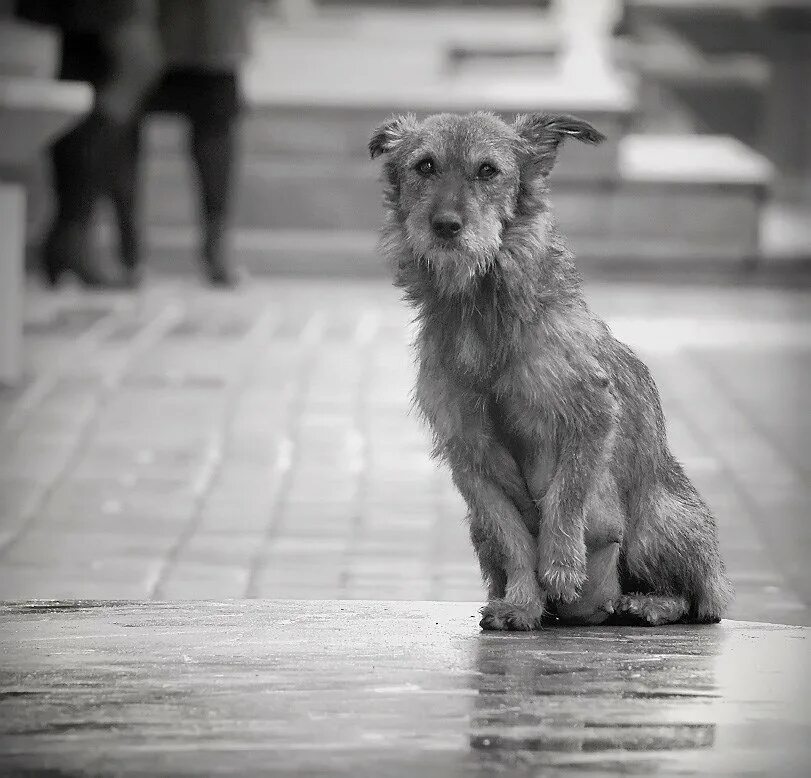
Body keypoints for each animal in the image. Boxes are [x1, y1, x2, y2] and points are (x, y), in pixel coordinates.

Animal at [372, 110, 732, 632]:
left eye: (488, 170)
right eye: (425, 166)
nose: (445, 226)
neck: (483, 313)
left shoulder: (592, 415)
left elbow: (566, 495)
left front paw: (561, 566)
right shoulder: (470, 457)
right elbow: (515, 539)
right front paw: (523, 603)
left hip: (657, 522)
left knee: (699, 601)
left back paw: (648, 603)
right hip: (477, 531)